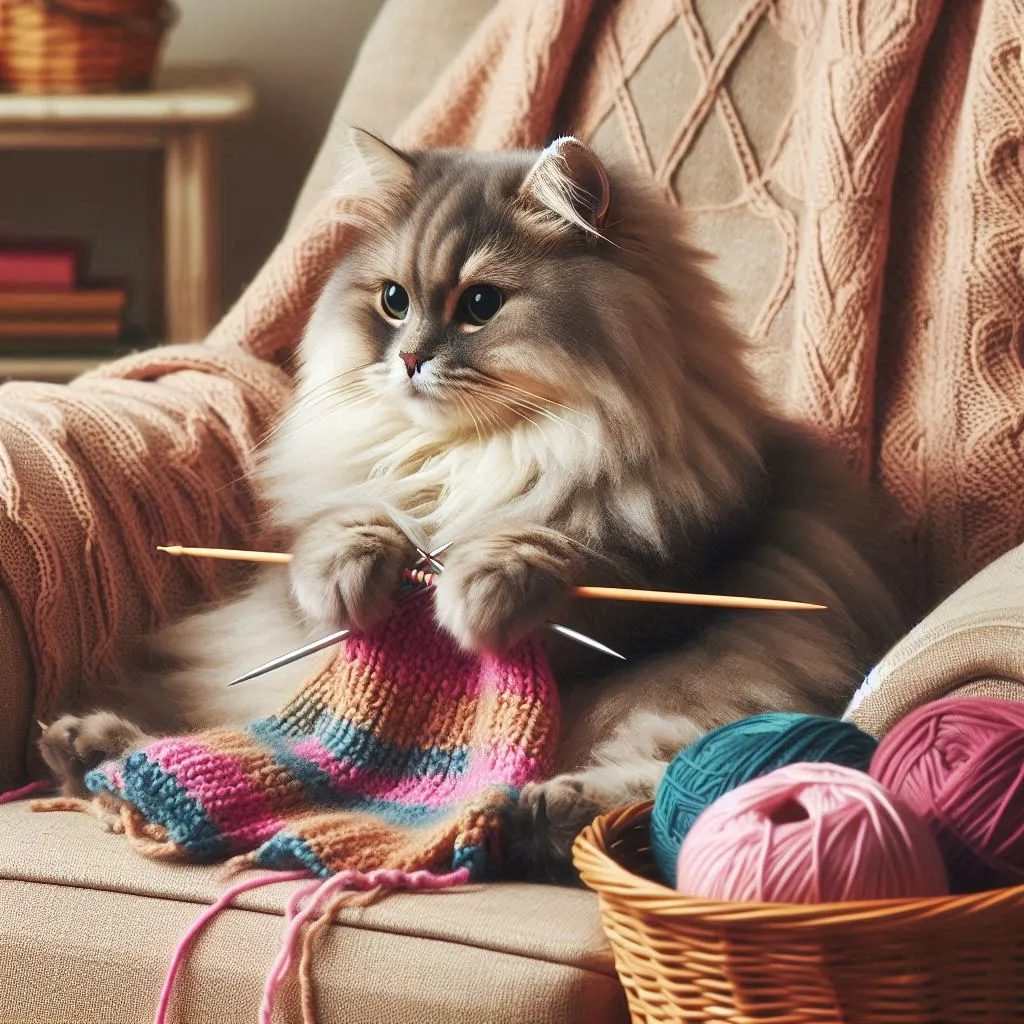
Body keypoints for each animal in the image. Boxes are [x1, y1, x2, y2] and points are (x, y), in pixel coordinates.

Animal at [39, 128, 909, 880]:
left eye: (481, 304)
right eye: (393, 301)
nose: (410, 358)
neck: (470, 458)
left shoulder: (657, 583)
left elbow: (546, 548)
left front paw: (473, 595)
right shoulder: (324, 548)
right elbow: (345, 532)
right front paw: (360, 574)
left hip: (722, 697)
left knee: (665, 786)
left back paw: (536, 812)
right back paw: (88, 748)